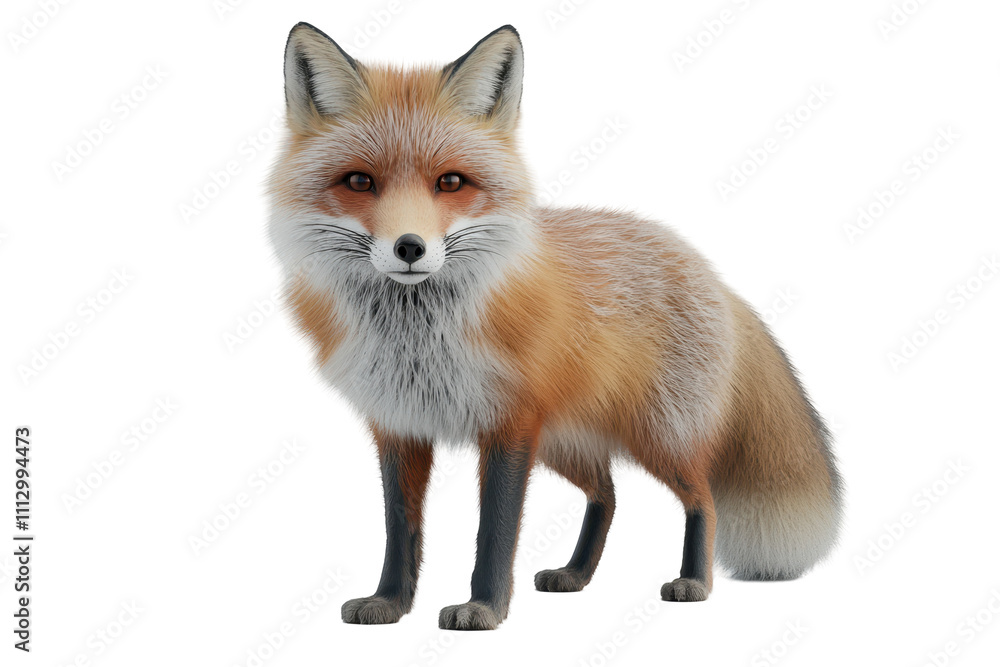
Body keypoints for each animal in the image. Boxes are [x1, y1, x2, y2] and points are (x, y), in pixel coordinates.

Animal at [267, 23, 843, 631]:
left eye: (451, 182)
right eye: (359, 181)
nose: (409, 248)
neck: (417, 338)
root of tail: (713, 276)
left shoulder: (511, 423)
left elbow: (494, 531)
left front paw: (483, 608)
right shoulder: (399, 425)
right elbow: (400, 529)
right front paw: (391, 602)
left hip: (659, 437)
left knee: (702, 498)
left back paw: (694, 582)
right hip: (567, 445)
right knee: (608, 494)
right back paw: (576, 575)